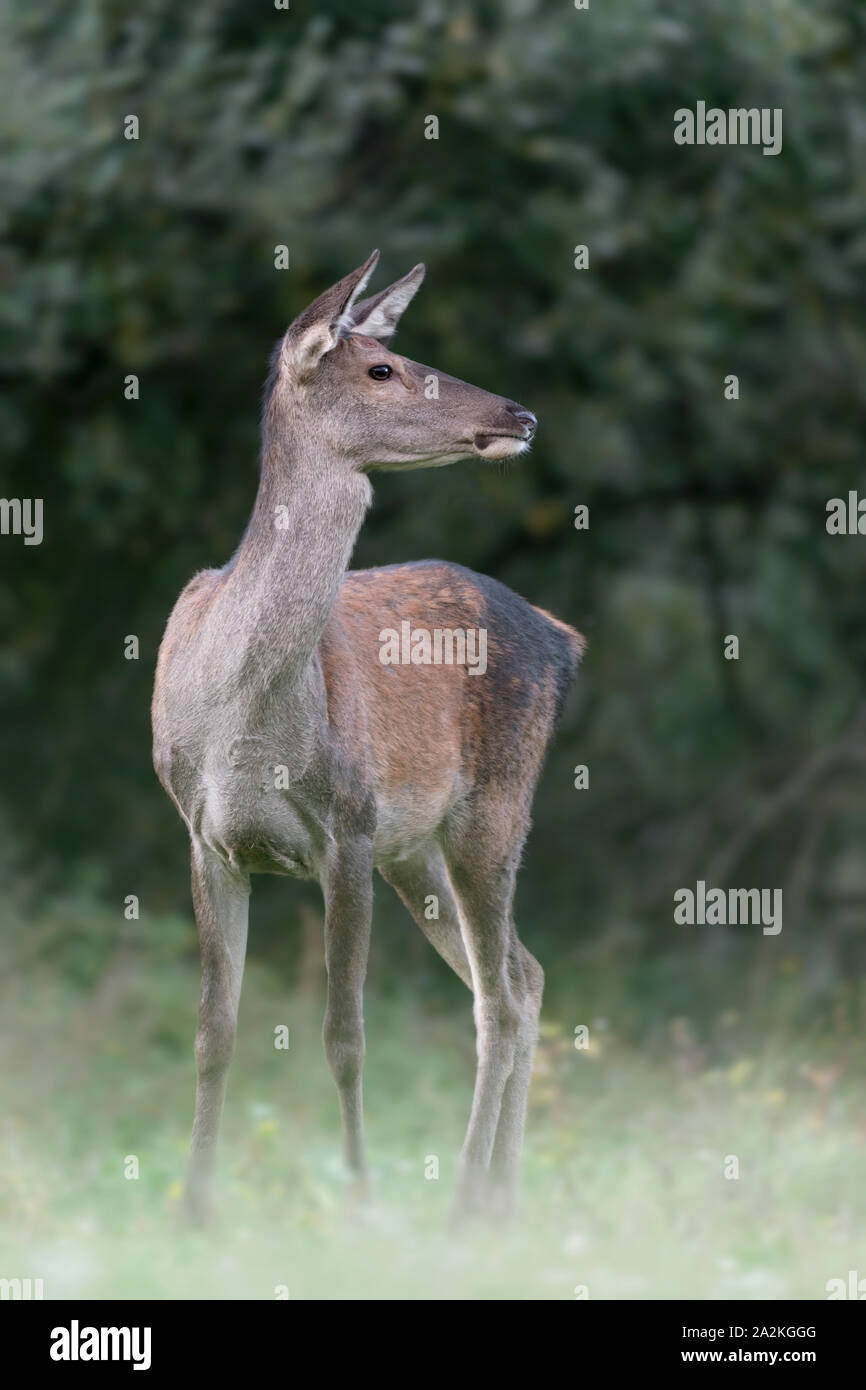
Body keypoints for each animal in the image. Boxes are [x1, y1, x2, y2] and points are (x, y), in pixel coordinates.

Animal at [150, 252, 583, 1228]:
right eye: (383, 367)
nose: (521, 415)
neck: (244, 721)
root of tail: (561, 636)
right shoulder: (204, 835)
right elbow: (212, 1030)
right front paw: (193, 1210)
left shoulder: (345, 827)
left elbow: (344, 1034)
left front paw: (358, 1198)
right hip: (415, 849)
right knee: (525, 973)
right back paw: (504, 1200)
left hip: (493, 809)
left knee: (500, 997)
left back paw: (466, 1204)